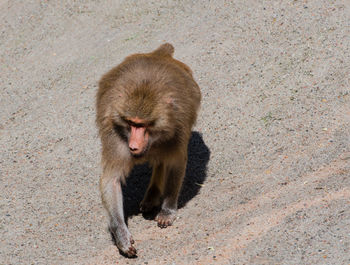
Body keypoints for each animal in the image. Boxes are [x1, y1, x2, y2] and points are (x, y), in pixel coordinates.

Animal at [95, 42, 201, 256]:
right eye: (131, 123)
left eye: (142, 125)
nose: (133, 146)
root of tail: (157, 55)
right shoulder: (116, 138)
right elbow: (111, 180)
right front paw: (121, 236)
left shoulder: (177, 131)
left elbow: (176, 164)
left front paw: (167, 211)